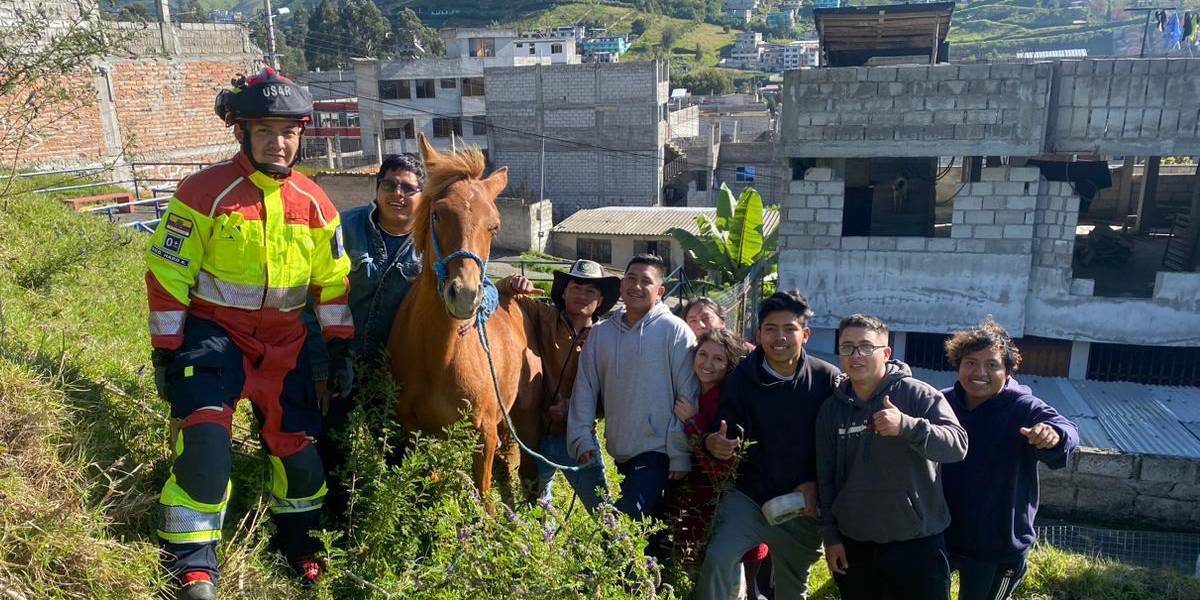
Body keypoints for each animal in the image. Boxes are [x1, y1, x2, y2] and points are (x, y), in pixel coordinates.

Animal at [387, 134, 543, 500]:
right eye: (438, 215)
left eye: (494, 225)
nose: (465, 295)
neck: (439, 358)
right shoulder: (412, 428)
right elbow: (425, 481)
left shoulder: (483, 432)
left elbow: (484, 496)